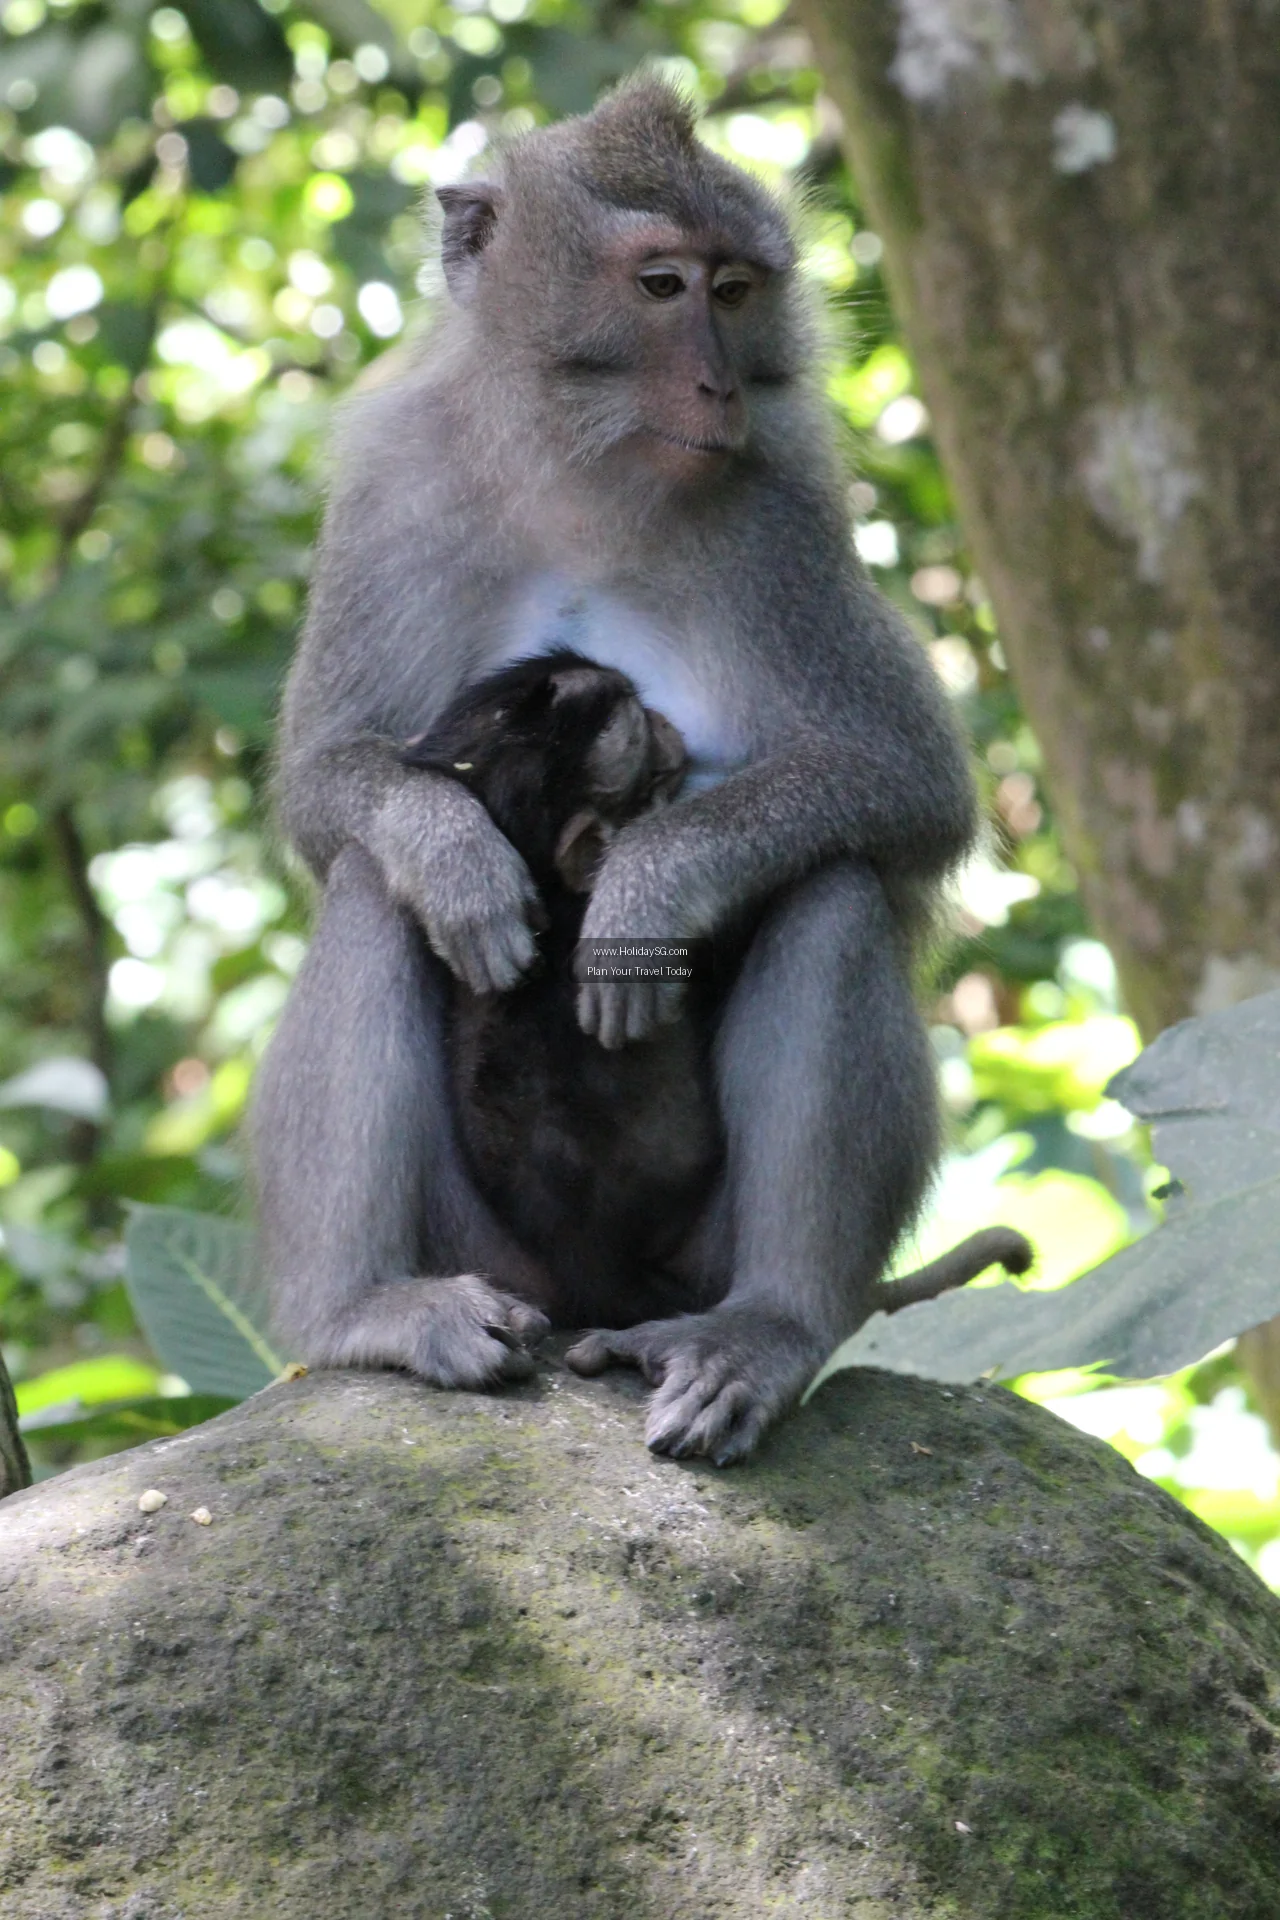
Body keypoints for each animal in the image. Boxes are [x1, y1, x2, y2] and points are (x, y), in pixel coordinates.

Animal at [251, 75, 1032, 1465]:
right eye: (660, 285)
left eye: (734, 288)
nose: (719, 384)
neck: (585, 472)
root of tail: (592, 1297)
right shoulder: (397, 488)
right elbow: (333, 779)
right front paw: (457, 858)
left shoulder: (783, 521)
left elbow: (903, 777)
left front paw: (647, 893)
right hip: (484, 1252)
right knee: (372, 890)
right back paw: (364, 1312)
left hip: (688, 1262)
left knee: (828, 893)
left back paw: (764, 1329)